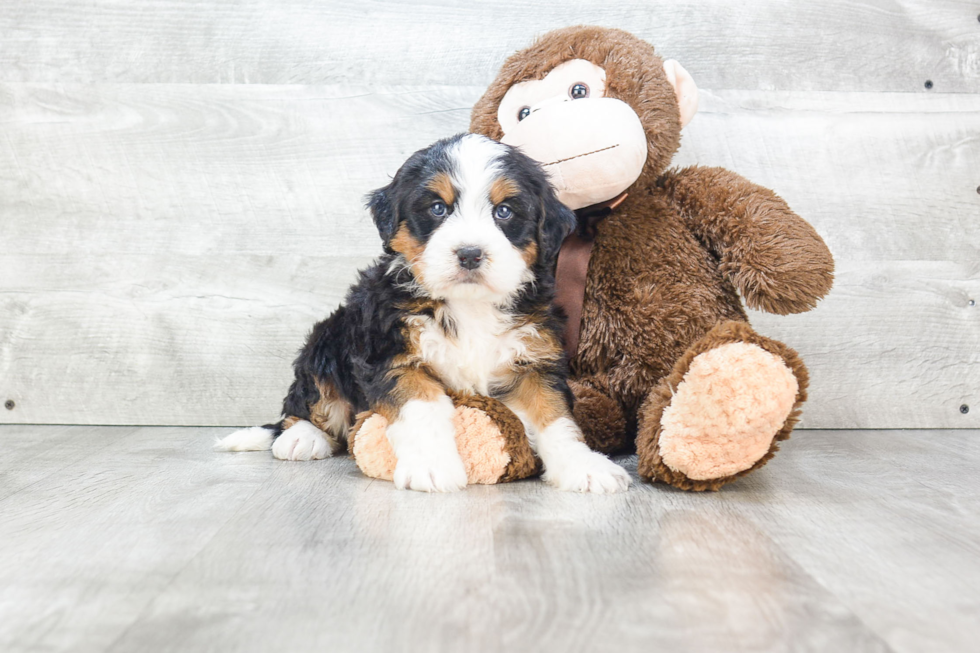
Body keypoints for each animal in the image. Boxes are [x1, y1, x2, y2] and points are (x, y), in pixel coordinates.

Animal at [213, 132, 628, 492]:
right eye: (438, 208)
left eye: (505, 211)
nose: (470, 253)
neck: (467, 304)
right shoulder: (392, 355)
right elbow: (423, 410)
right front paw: (432, 467)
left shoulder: (534, 360)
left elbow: (555, 418)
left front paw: (584, 466)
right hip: (326, 340)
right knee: (305, 401)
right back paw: (302, 437)